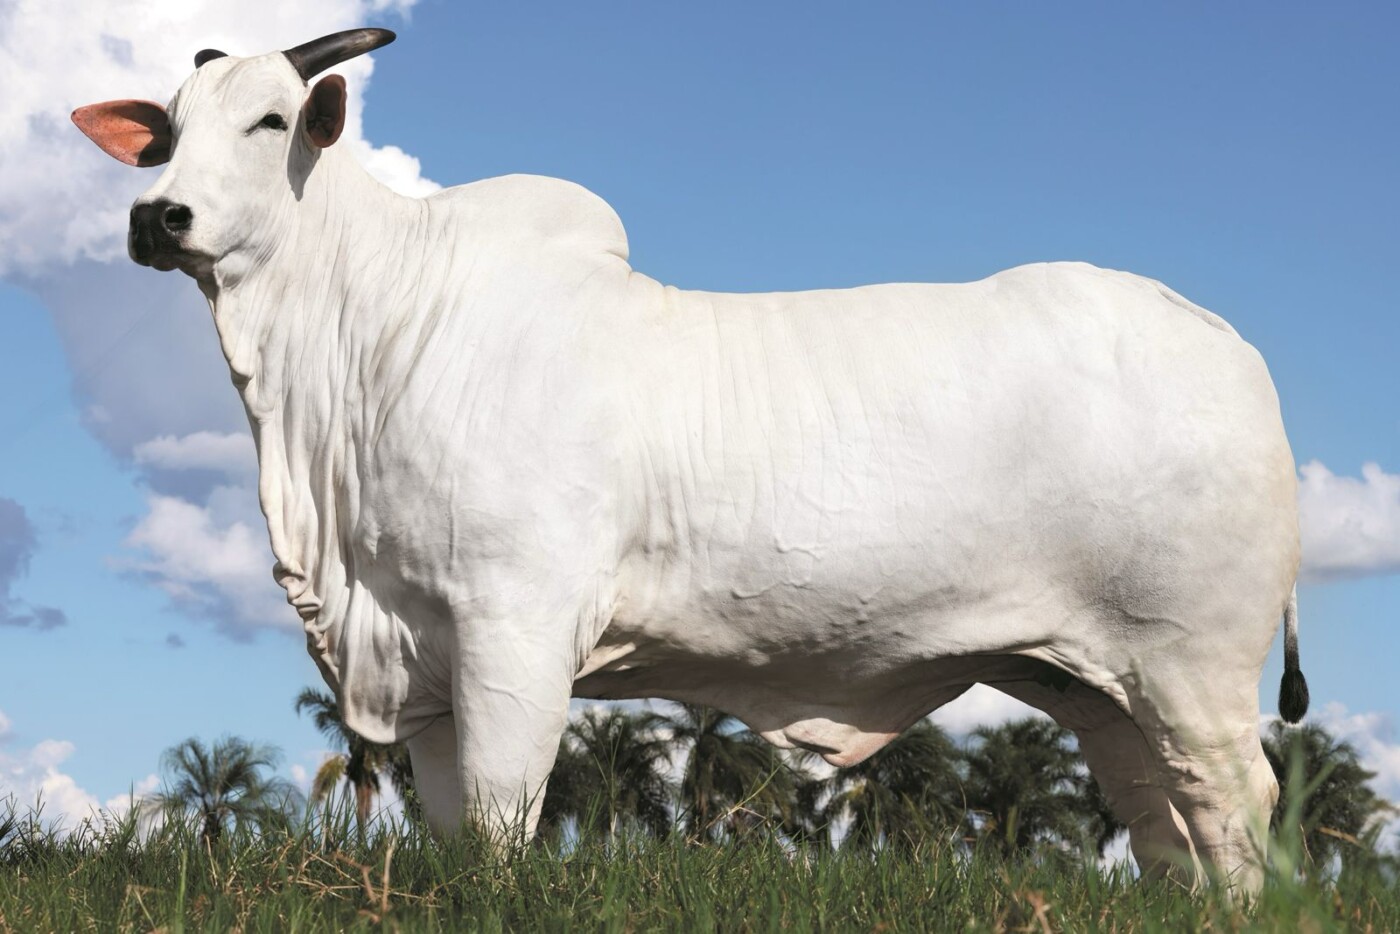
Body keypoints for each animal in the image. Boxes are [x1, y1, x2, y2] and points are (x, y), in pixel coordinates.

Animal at [74, 28, 1308, 888]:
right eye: (166, 129)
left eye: (270, 121)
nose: (157, 217)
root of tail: (1222, 339)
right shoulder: (419, 653)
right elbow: (452, 826)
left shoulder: (515, 628)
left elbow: (504, 818)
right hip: (1097, 681)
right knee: (1158, 815)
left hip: (1193, 661)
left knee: (1235, 799)